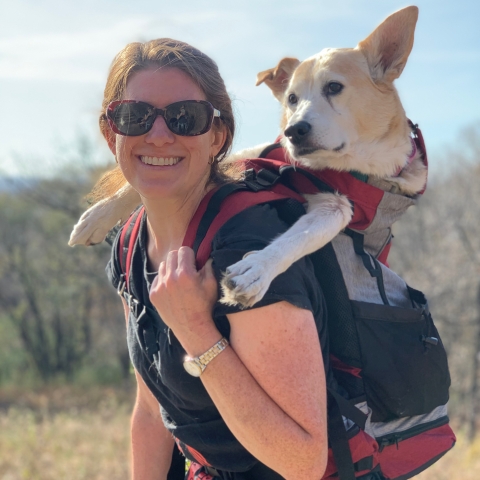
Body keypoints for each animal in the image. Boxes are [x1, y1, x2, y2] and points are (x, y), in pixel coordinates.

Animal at [68, 5, 428, 308]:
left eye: (334, 87)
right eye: (291, 98)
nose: (293, 132)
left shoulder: (337, 207)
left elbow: (299, 237)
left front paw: (257, 269)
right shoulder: (254, 153)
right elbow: (130, 187)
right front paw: (97, 217)